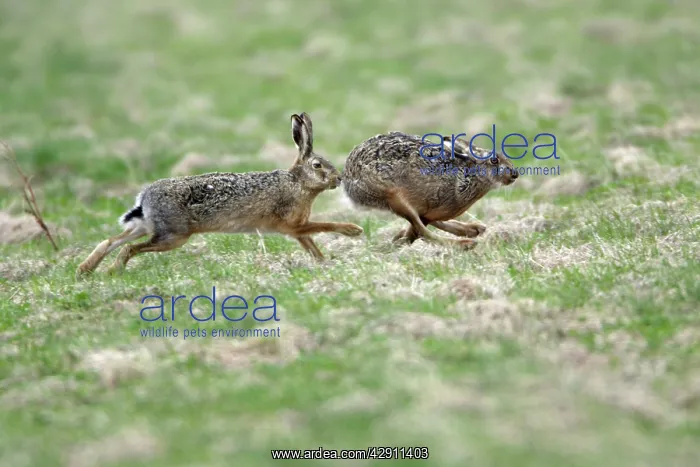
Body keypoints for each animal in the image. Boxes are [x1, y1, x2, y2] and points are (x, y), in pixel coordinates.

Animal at [76, 112, 364, 276]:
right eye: (317, 165)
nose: (339, 179)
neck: (298, 182)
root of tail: (145, 198)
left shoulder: (296, 229)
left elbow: (310, 244)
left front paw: (323, 262)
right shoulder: (292, 224)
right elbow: (324, 226)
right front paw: (353, 230)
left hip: (149, 227)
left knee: (112, 240)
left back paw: (85, 270)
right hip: (173, 236)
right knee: (129, 248)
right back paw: (112, 271)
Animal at [342, 132, 518, 248]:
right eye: (494, 160)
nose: (515, 174)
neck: (468, 176)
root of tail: (348, 175)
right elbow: (420, 227)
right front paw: (400, 239)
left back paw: (474, 230)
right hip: (391, 194)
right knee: (423, 230)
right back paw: (466, 243)